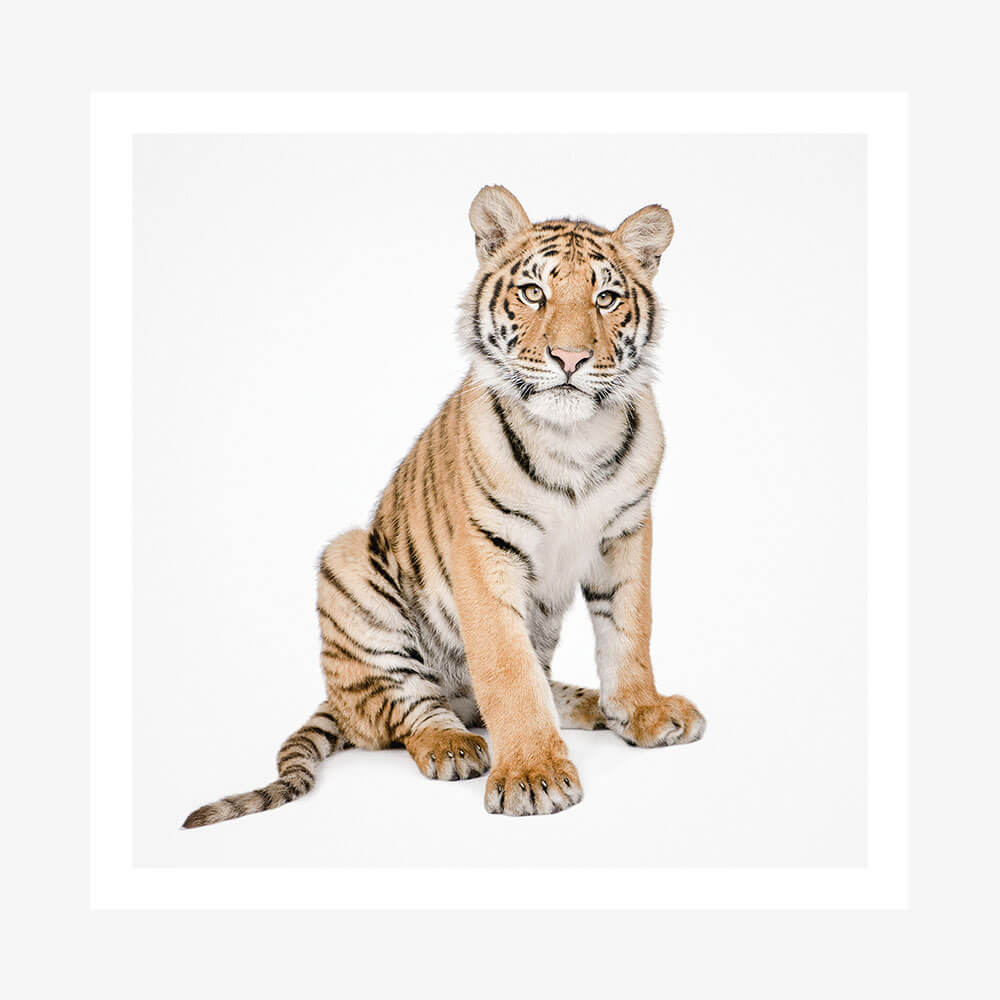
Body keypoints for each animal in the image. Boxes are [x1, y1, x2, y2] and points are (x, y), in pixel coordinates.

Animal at [182, 184, 705, 826]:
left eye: (605, 298)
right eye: (534, 292)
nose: (570, 358)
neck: (572, 439)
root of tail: (333, 697)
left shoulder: (626, 534)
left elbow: (630, 632)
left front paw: (643, 712)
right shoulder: (484, 550)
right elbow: (506, 669)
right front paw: (532, 774)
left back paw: (585, 703)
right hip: (348, 565)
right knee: (405, 713)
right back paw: (454, 745)